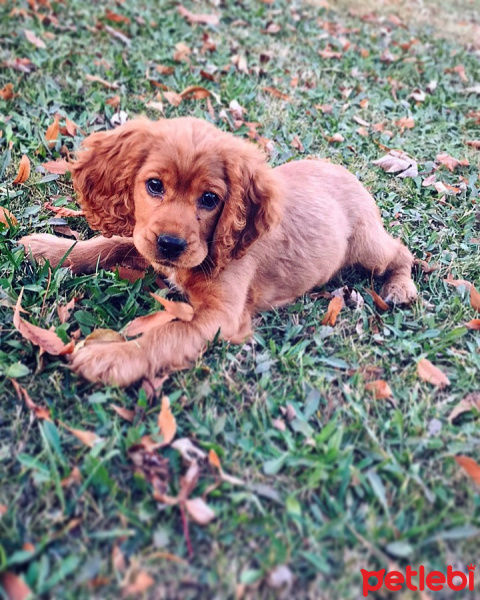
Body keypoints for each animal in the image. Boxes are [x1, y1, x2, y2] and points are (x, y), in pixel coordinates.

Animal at [18, 117, 416, 386]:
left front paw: (116, 356)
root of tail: (349, 174)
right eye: (154, 185)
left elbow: (168, 334)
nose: (171, 245)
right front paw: (49, 249)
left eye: (210, 199)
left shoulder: (220, 316)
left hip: (368, 247)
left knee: (401, 252)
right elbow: (111, 243)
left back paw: (400, 287)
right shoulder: (145, 239)